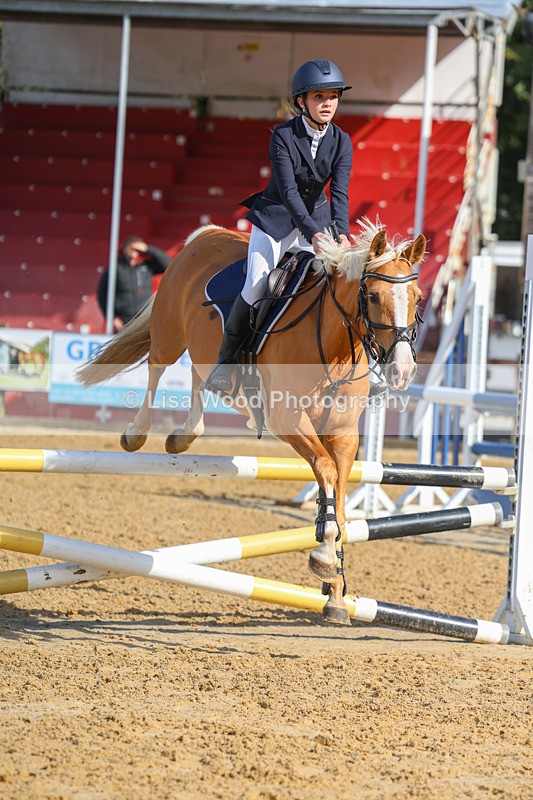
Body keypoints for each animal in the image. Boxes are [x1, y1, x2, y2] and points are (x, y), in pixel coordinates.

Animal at [78, 218, 425, 625]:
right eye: (371, 296)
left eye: (417, 298)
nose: (402, 370)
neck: (334, 345)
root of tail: (206, 234)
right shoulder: (288, 419)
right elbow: (324, 471)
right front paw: (324, 559)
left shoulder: (343, 436)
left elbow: (338, 500)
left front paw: (336, 595)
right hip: (169, 333)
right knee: (157, 368)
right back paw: (137, 433)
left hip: (200, 345)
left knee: (199, 374)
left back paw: (185, 436)